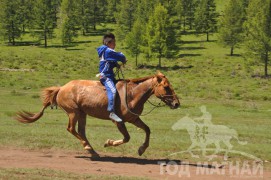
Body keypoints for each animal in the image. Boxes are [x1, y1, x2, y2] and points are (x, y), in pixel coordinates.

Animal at [15, 71, 181, 157]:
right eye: (166, 87)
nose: (176, 103)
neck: (132, 94)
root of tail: (61, 88)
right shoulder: (118, 121)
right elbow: (127, 137)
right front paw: (109, 143)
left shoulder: (134, 118)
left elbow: (147, 130)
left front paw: (142, 149)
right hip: (73, 112)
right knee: (71, 129)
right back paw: (88, 147)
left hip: (82, 114)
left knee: (81, 131)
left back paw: (92, 150)